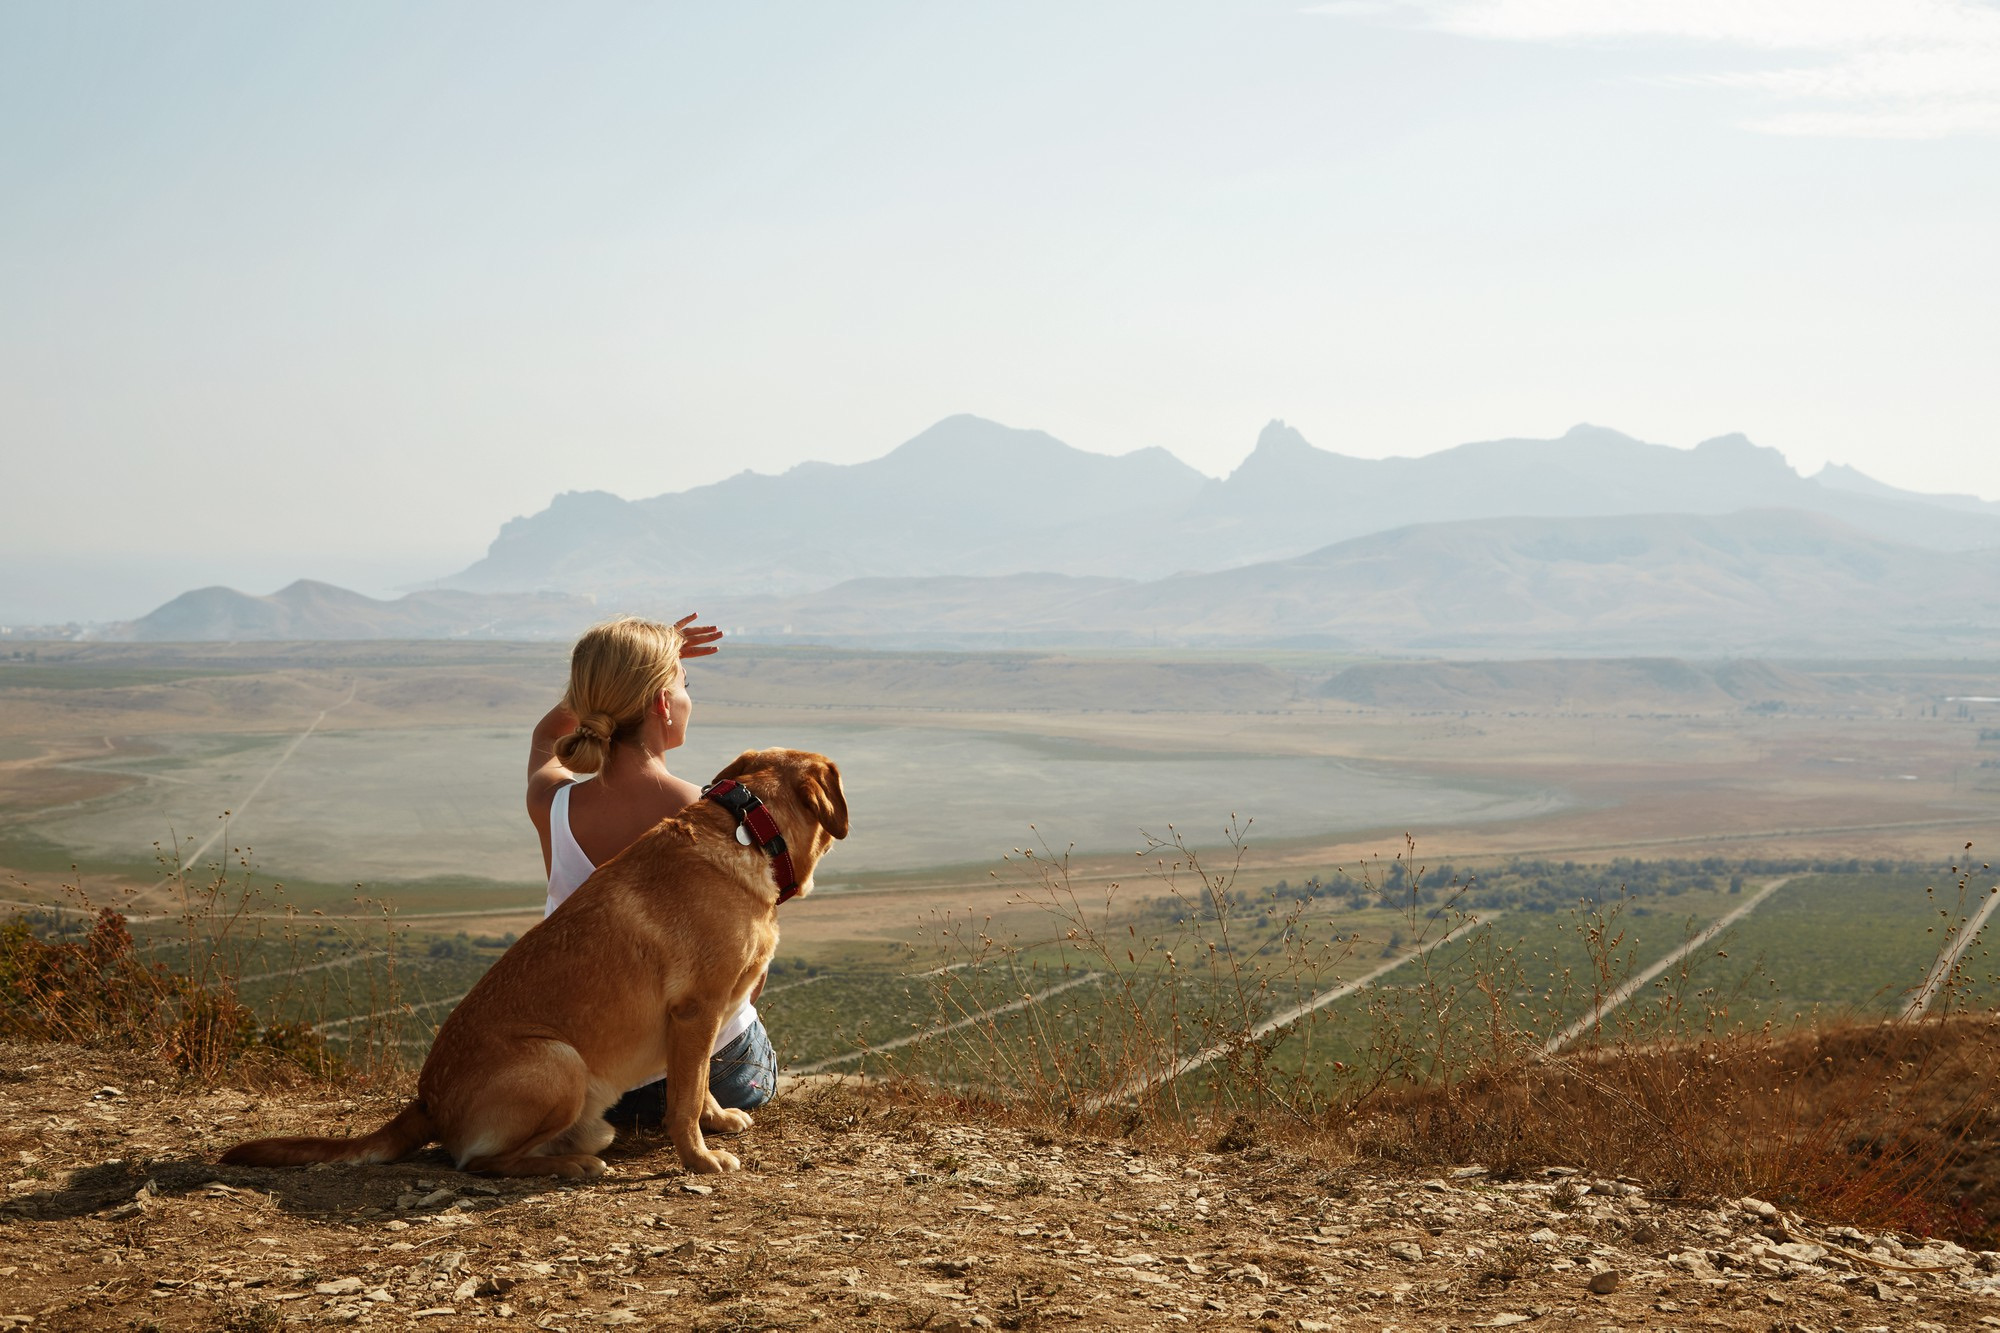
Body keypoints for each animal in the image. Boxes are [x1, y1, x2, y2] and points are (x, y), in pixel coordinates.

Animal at [219, 748, 844, 1176]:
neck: (750, 831)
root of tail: (426, 1101)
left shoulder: (698, 1021)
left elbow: (697, 1084)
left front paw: (717, 1121)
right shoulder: (698, 1010)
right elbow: (684, 1098)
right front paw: (699, 1157)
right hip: (557, 1062)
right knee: (478, 1163)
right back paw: (573, 1166)